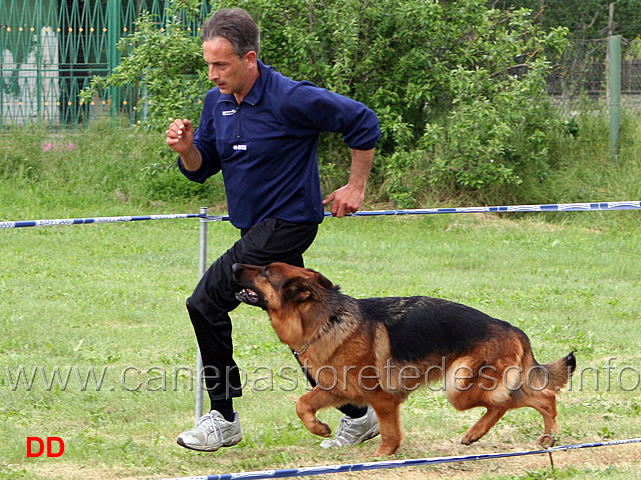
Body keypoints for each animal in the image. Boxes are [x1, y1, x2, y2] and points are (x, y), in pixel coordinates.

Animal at [234, 262, 576, 454]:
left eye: (265, 272)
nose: (234, 264)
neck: (325, 320)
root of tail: (512, 328)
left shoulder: (383, 399)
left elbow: (389, 432)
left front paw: (381, 457)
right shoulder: (337, 389)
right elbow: (302, 403)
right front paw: (319, 428)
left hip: (459, 387)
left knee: (507, 402)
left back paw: (478, 433)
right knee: (542, 397)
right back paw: (546, 438)